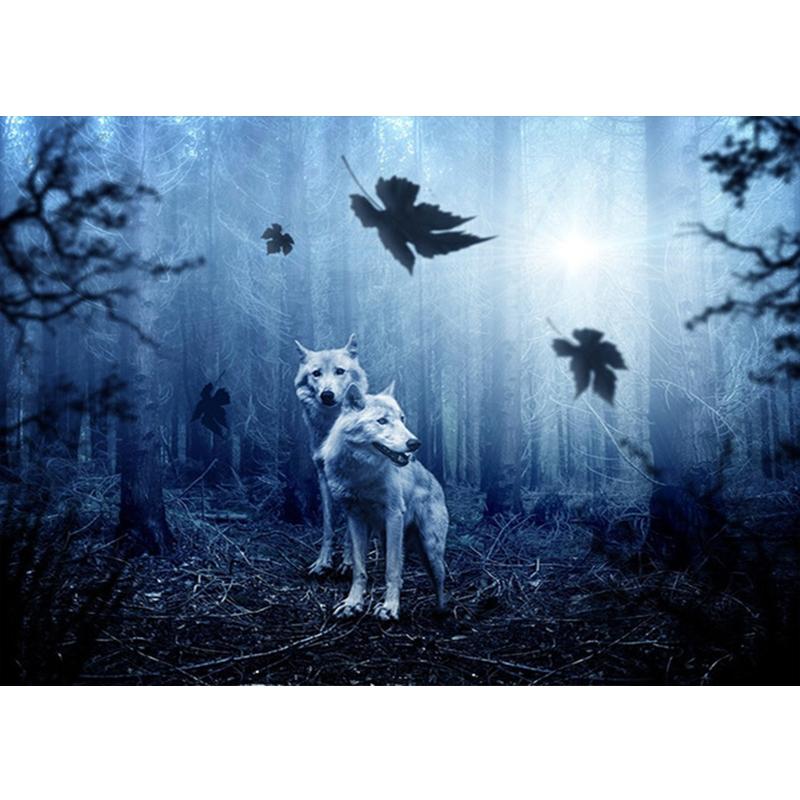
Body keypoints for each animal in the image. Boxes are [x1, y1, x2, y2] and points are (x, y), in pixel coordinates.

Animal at [294, 333, 369, 575]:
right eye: (316, 373)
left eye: (340, 371)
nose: (327, 395)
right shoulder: (323, 477)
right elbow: (328, 524)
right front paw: (322, 563)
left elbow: (349, 529)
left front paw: (348, 563)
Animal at [321, 381, 448, 620]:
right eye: (382, 421)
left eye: (402, 418)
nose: (415, 443)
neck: (361, 474)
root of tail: (436, 481)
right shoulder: (355, 518)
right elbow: (359, 569)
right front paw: (353, 604)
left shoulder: (394, 515)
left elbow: (392, 570)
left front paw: (390, 608)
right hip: (386, 537)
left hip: (430, 547)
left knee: (440, 580)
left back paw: (441, 612)